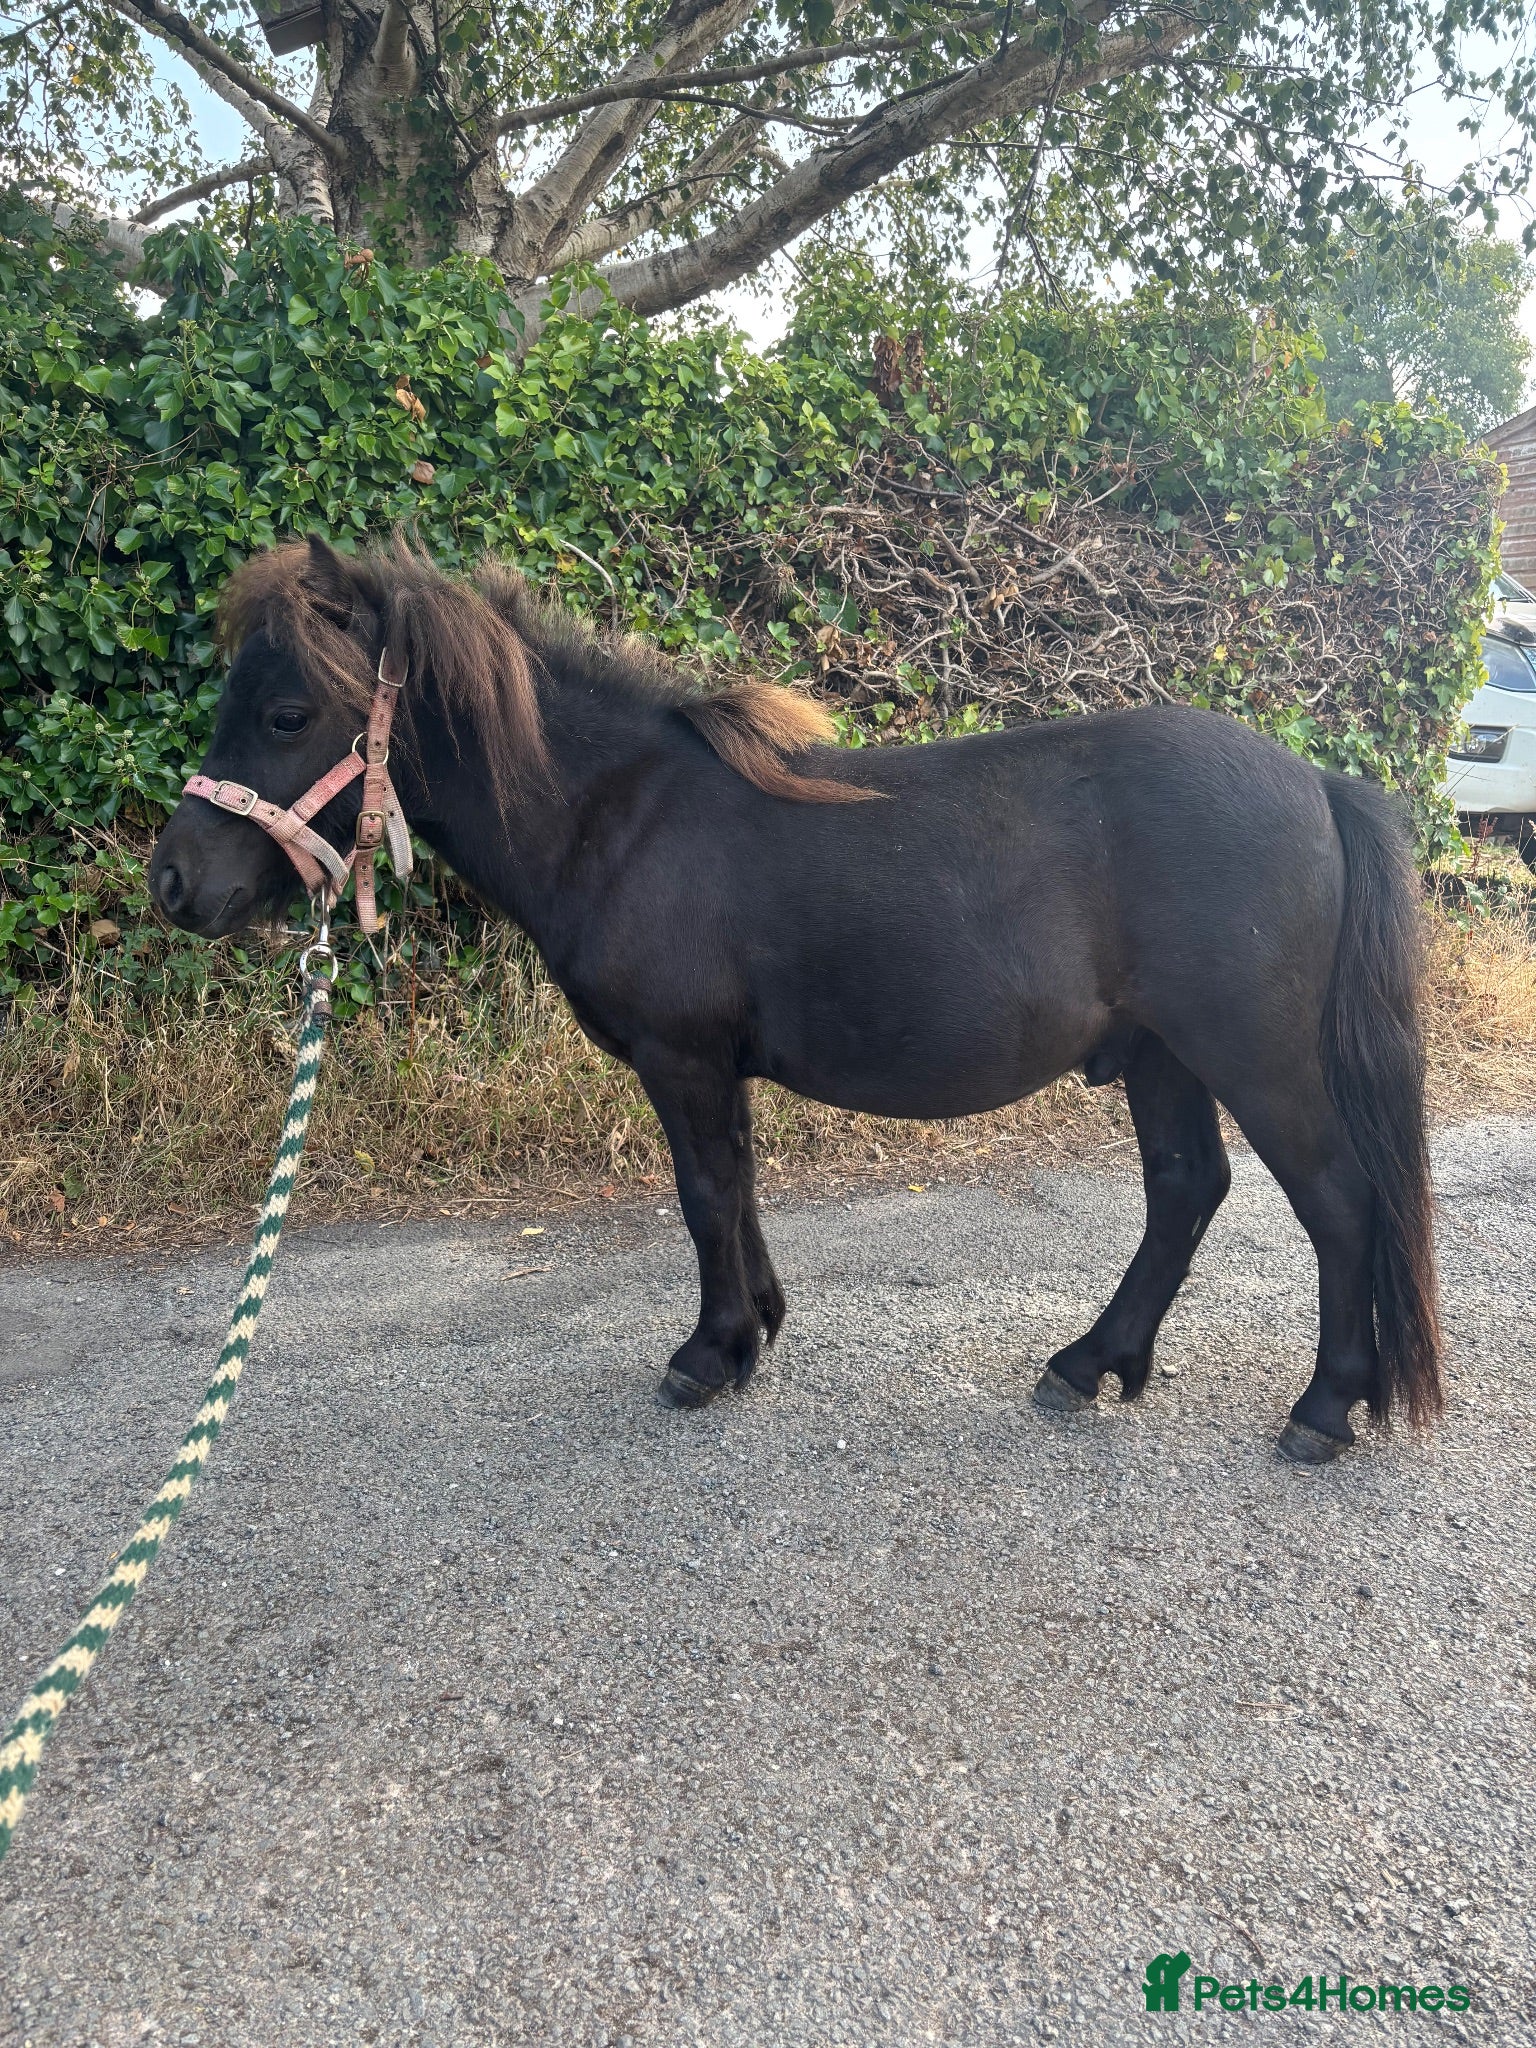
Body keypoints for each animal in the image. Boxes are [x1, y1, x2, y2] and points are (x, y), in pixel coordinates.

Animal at [149, 536, 1442, 1463]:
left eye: (286, 713)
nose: (174, 881)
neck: (621, 814)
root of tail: (1316, 781)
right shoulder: (714, 1065)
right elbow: (737, 1188)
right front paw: (756, 1326)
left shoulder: (680, 1056)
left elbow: (703, 1194)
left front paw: (710, 1353)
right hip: (1166, 1053)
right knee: (1186, 1191)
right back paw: (1089, 1362)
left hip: (1253, 1053)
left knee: (1337, 1200)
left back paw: (1323, 1406)